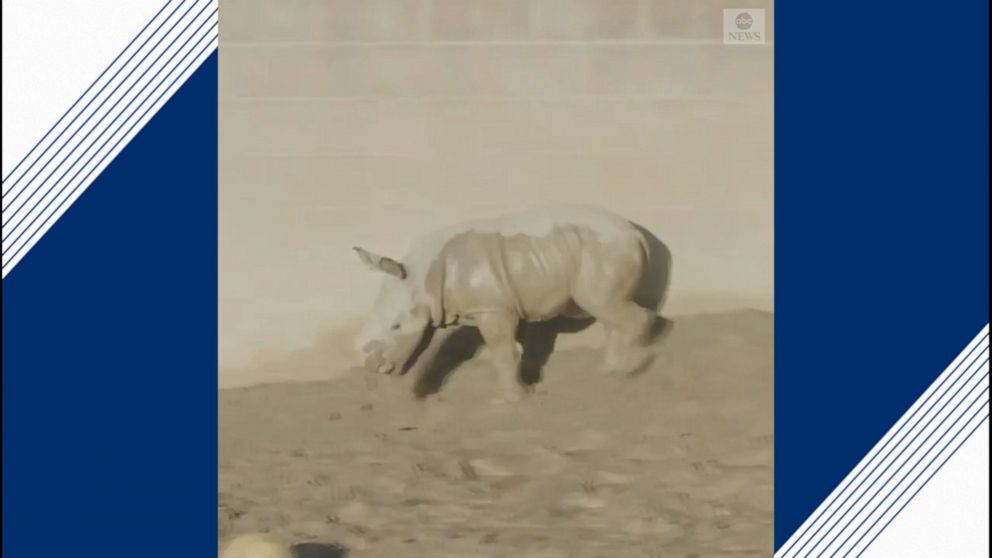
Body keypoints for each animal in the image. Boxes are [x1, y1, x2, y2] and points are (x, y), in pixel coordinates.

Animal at [353, 205, 666, 401]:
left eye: (396, 326)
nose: (372, 367)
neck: (420, 277)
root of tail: (636, 234)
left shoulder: (492, 308)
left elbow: (503, 352)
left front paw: (513, 399)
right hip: (598, 249)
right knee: (609, 309)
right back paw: (609, 371)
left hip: (606, 249)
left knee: (604, 305)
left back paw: (627, 370)